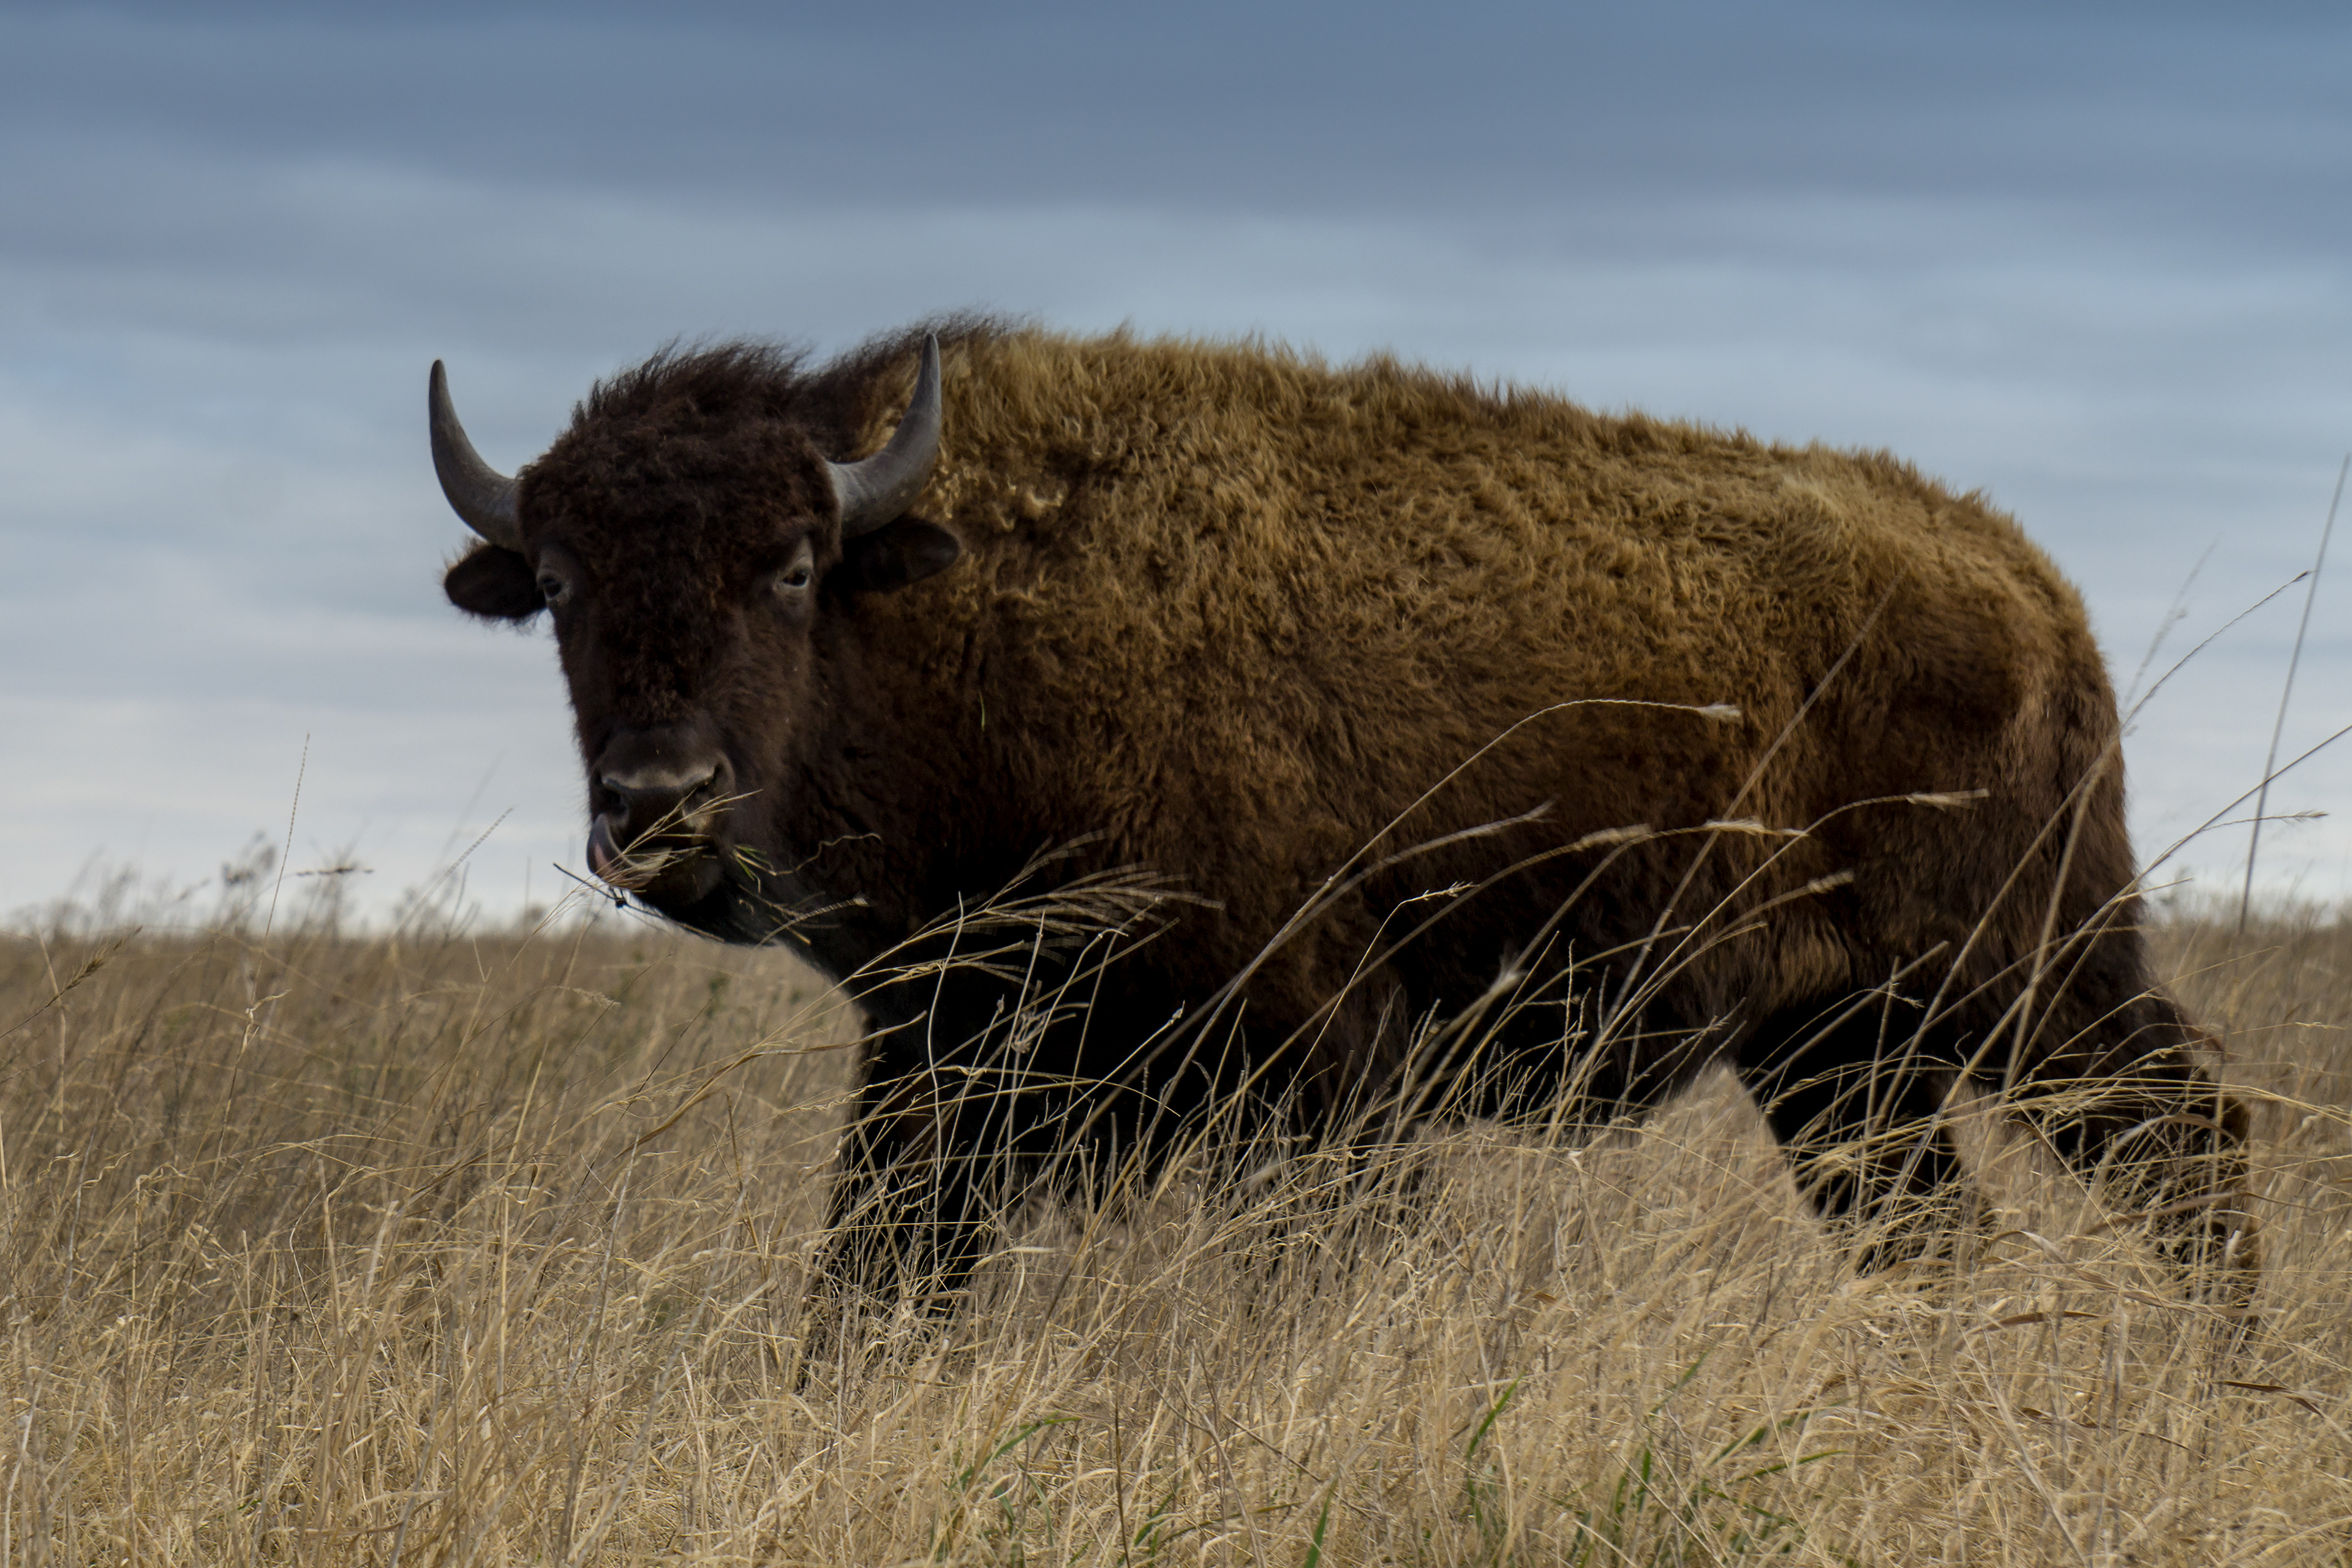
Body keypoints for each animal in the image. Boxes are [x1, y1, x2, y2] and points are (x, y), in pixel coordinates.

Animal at [430, 319, 2258, 1311]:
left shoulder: (1320, 1068)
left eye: (793, 567)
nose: (657, 807)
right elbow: (867, 1283)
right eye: (563, 583)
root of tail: (2025, 581)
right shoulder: (938, 1058)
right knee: (1940, 1232)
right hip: (1838, 1056)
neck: (957, 602)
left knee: (2188, 1143)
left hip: (2032, 981)